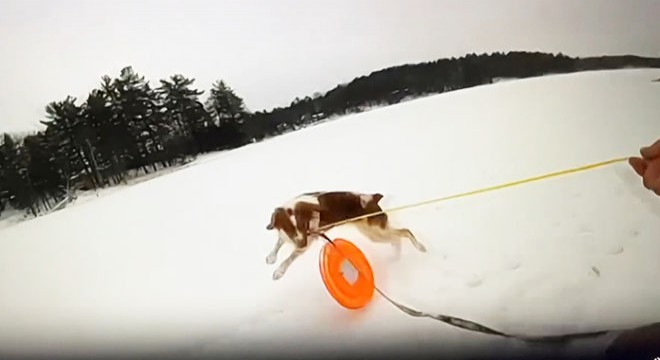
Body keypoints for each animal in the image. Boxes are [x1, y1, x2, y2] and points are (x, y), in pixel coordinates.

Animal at [266, 191, 426, 282]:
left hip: (374, 232)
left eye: (304, 225)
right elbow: (278, 243)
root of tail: (372, 199)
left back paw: (419, 247)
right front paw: (271, 257)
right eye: (290, 229)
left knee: (404, 232)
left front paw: (279, 271)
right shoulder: (286, 235)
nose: (302, 243)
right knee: (396, 237)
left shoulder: (306, 241)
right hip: (373, 233)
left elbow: (288, 259)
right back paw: (396, 255)